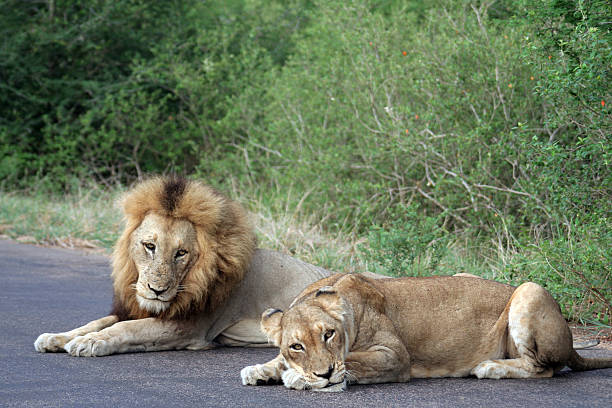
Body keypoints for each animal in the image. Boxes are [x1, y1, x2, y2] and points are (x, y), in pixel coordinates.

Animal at [33, 177, 330, 356]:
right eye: (149, 246)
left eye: (181, 253)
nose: (157, 290)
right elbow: (99, 321)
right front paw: (57, 338)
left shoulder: (188, 328)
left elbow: (127, 329)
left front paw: (90, 342)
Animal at [241, 272, 608, 390]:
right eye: (296, 346)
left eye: (329, 334)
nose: (325, 374)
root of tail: (572, 342)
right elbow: (275, 360)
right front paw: (259, 369)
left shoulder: (395, 357)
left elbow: (354, 362)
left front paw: (297, 377)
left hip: (529, 290)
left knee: (544, 368)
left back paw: (489, 367)